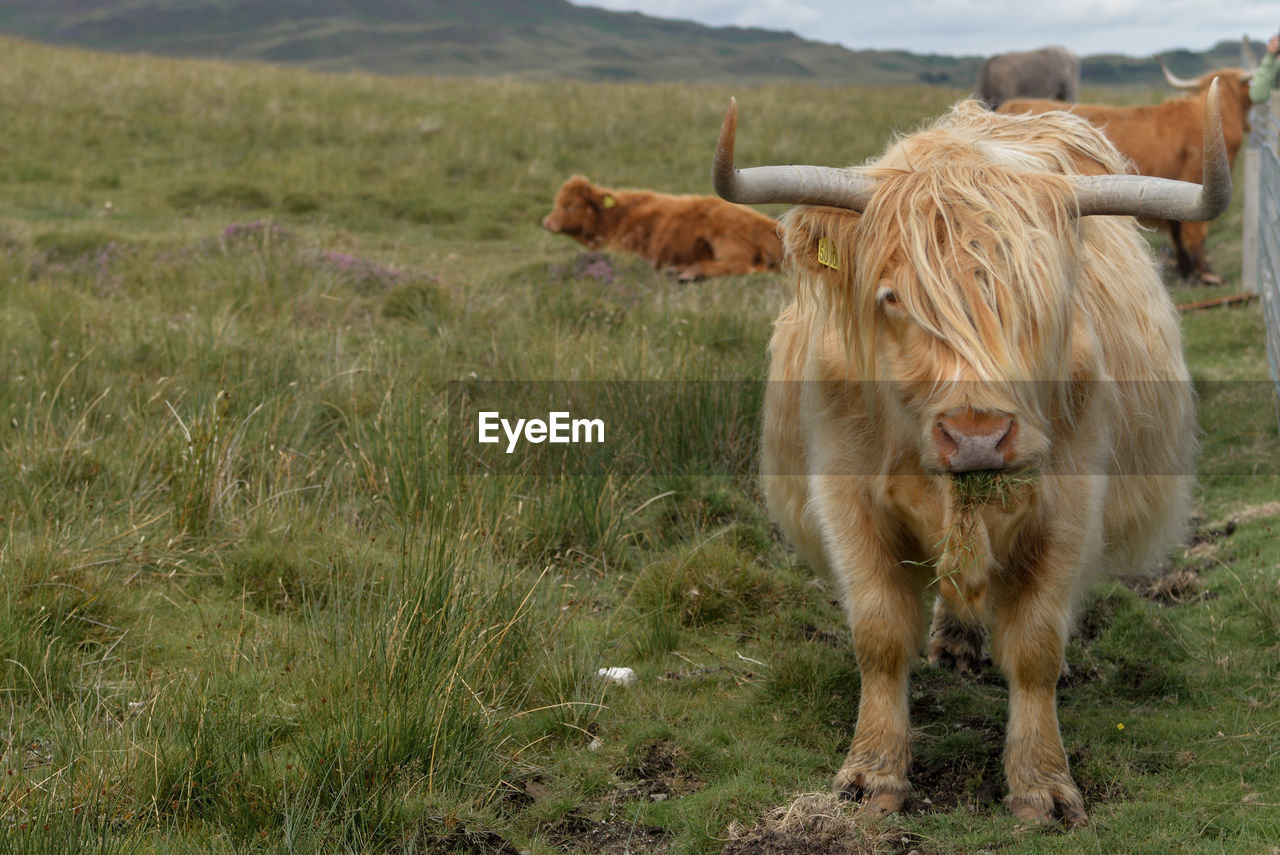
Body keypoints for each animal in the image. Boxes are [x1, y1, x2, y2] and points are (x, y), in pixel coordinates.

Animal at [537, 174, 778, 280]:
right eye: (557, 201)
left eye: (570, 205)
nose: (547, 222)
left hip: (726, 237)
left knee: (739, 266)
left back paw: (686, 272)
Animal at [716, 83, 1233, 824]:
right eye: (892, 296)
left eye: (1036, 300)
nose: (977, 436)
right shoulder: (843, 491)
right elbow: (879, 632)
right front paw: (872, 773)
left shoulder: (1070, 502)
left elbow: (1036, 641)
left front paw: (1042, 783)